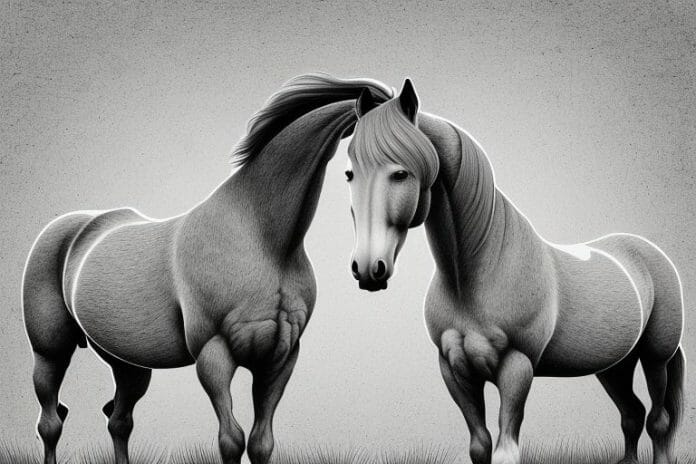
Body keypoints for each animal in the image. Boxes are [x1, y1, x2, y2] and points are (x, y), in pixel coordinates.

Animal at [21, 73, 393, 464]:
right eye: (355, 168)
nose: (372, 268)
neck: (261, 237)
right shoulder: (214, 353)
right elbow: (231, 439)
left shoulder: (280, 357)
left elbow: (261, 442)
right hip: (50, 352)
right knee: (51, 422)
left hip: (128, 363)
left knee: (119, 421)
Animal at [344, 79, 685, 464]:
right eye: (350, 174)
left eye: (401, 173)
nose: (368, 268)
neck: (476, 276)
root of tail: (652, 253)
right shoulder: (455, 369)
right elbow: (480, 445)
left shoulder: (517, 366)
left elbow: (507, 449)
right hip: (614, 367)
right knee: (632, 414)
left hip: (656, 357)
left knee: (658, 419)